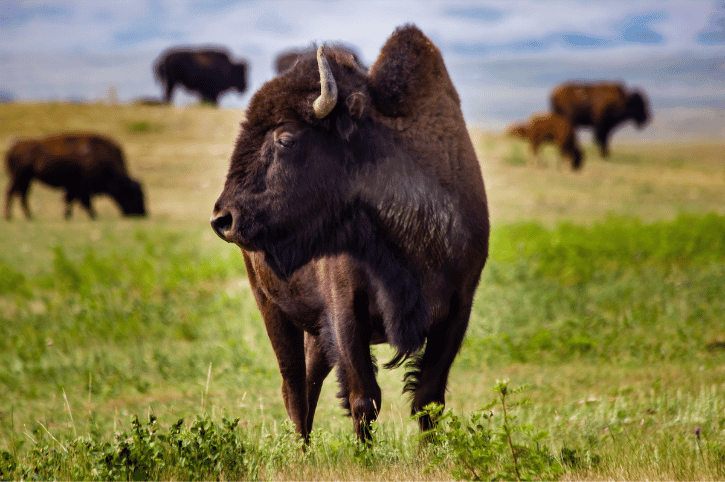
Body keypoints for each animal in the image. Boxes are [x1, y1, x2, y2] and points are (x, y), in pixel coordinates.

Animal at [5, 133, 146, 220]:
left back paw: (25, 216)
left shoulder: (73, 186)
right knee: (15, 193)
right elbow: (83, 201)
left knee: (20, 194)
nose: (142, 213)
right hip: (21, 177)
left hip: (25, 179)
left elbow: (71, 200)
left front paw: (67, 215)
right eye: (134, 194)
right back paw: (15, 216)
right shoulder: (82, 186)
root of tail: (15, 146)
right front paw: (93, 215)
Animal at [211, 25, 489, 443]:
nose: (223, 218)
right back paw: (302, 451)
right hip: (270, 304)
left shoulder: (458, 307)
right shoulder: (346, 309)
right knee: (294, 387)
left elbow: (428, 398)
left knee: (308, 383)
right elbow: (364, 398)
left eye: (286, 138)